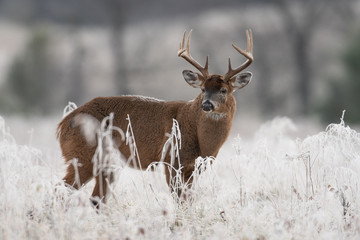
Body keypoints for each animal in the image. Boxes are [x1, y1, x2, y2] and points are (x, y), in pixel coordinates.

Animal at [57, 28, 253, 204]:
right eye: (203, 89)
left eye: (224, 90)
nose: (206, 105)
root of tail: (63, 124)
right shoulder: (171, 160)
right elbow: (179, 200)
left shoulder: (194, 168)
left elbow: (188, 200)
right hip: (84, 155)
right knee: (62, 188)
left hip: (105, 163)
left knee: (96, 199)